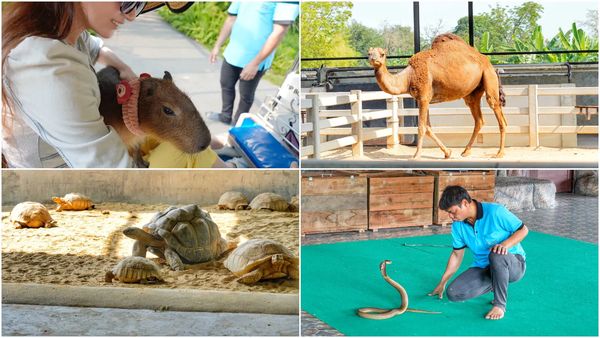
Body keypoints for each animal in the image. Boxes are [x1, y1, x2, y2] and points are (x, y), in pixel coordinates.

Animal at [368, 32, 504, 159]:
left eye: (382, 54)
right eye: (369, 53)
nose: (374, 59)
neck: (409, 77)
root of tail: (489, 63)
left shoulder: (423, 97)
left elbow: (421, 127)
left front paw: (416, 155)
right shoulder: (423, 99)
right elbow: (428, 127)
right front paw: (448, 152)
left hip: (488, 76)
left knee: (497, 111)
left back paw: (499, 153)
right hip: (472, 93)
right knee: (479, 119)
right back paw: (466, 151)